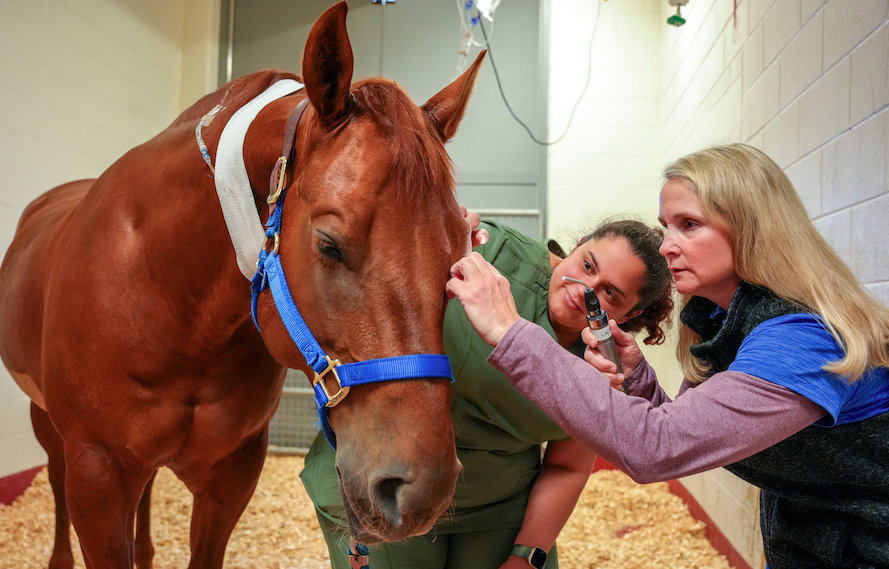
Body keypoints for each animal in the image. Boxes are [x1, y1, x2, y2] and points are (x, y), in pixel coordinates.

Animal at [0, 4, 486, 568]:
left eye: (459, 249)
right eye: (329, 243)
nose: (423, 490)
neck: (168, 293)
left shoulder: (232, 475)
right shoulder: (97, 475)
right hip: (47, 425)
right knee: (54, 478)